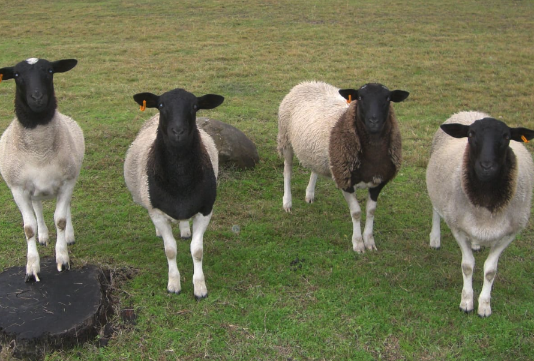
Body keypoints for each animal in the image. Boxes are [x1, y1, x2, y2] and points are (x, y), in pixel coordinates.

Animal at [0, 57, 84, 282]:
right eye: (17, 75)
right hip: (33, 189)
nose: (37, 97)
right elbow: (29, 228)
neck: (39, 151)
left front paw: (63, 258)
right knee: (37, 207)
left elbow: (60, 220)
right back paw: (43, 235)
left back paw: (69, 236)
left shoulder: (67, 182)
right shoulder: (18, 189)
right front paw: (32, 268)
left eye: (49, 71)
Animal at [125, 87, 224, 298]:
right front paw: (173, 284)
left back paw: (185, 230)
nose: (178, 131)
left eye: (194, 106)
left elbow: (197, 251)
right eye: (161, 105)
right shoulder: (157, 212)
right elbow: (170, 250)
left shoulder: (205, 210)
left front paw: (200, 288)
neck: (181, 180)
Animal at [278, 80, 412, 252]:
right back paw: (287, 202)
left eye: (388, 98)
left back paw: (309, 194)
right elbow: (356, 212)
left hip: (316, 150)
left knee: (314, 169)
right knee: (287, 171)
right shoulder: (344, 179)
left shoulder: (378, 182)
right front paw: (358, 243)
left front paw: (369, 241)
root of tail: (306, 83)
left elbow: (371, 211)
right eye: (360, 97)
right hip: (285, 139)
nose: (373, 121)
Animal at [430, 109, 534, 316]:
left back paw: (476, 244)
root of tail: (471, 112)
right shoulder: (457, 227)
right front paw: (466, 302)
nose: (486, 166)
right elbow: (467, 266)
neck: (486, 199)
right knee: (436, 211)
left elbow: (490, 271)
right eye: (471, 134)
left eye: (506, 136)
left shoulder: (510, 233)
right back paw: (435, 239)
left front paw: (484, 305)